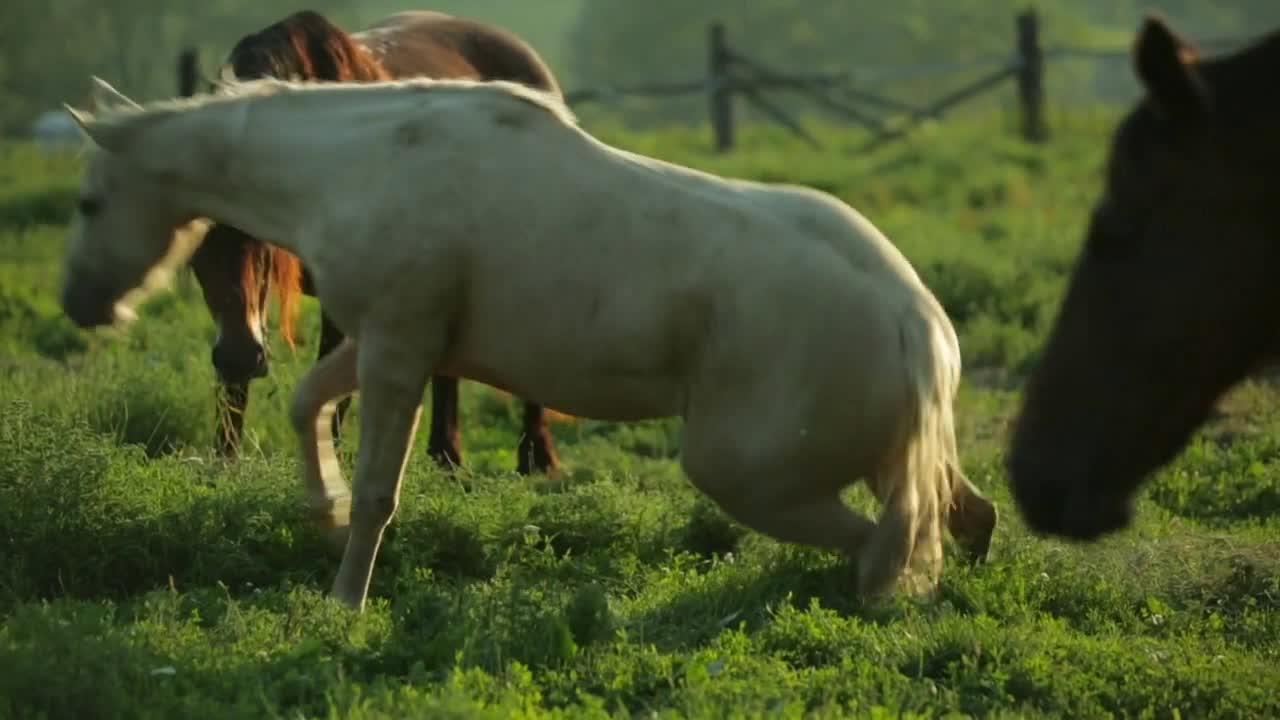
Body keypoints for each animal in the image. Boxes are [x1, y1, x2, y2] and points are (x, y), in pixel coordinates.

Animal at [62, 75, 998, 607]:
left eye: (88, 201)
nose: (80, 303)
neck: (364, 164)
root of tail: (917, 320)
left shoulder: (400, 348)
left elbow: (378, 493)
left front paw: (344, 601)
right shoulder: (389, 342)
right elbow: (304, 404)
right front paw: (319, 514)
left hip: (744, 473)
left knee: (885, 550)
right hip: (881, 459)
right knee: (967, 516)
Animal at [188, 11, 565, 474]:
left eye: (259, 245)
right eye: (194, 253)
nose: (239, 356)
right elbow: (235, 395)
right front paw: (225, 461)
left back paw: (536, 457)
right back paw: (447, 458)